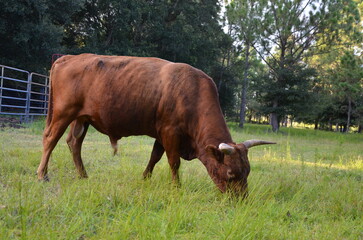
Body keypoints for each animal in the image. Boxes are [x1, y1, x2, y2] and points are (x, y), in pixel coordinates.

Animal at [37, 54, 276, 195]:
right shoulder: (171, 133)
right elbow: (173, 162)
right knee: (50, 139)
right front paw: (176, 188)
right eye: (230, 174)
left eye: (248, 171)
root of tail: (70, 57)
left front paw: (145, 178)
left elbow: (154, 157)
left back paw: (83, 175)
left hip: (82, 118)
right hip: (63, 113)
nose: (241, 200)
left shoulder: (162, 134)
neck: (193, 93)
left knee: (74, 143)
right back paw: (42, 175)